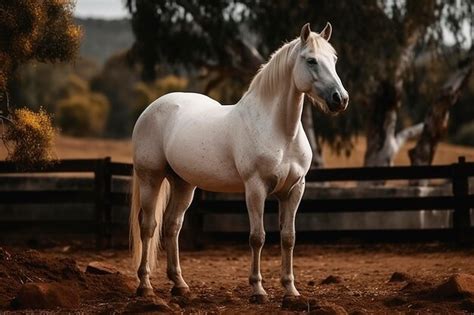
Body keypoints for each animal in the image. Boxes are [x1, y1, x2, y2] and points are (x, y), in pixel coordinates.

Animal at [130, 22, 348, 304]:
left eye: (334, 59)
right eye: (311, 60)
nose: (340, 99)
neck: (281, 132)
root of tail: (152, 108)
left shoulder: (294, 189)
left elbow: (288, 238)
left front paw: (291, 291)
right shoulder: (255, 189)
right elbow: (257, 237)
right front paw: (258, 290)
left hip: (184, 184)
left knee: (171, 226)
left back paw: (180, 285)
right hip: (151, 178)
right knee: (148, 227)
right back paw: (145, 285)